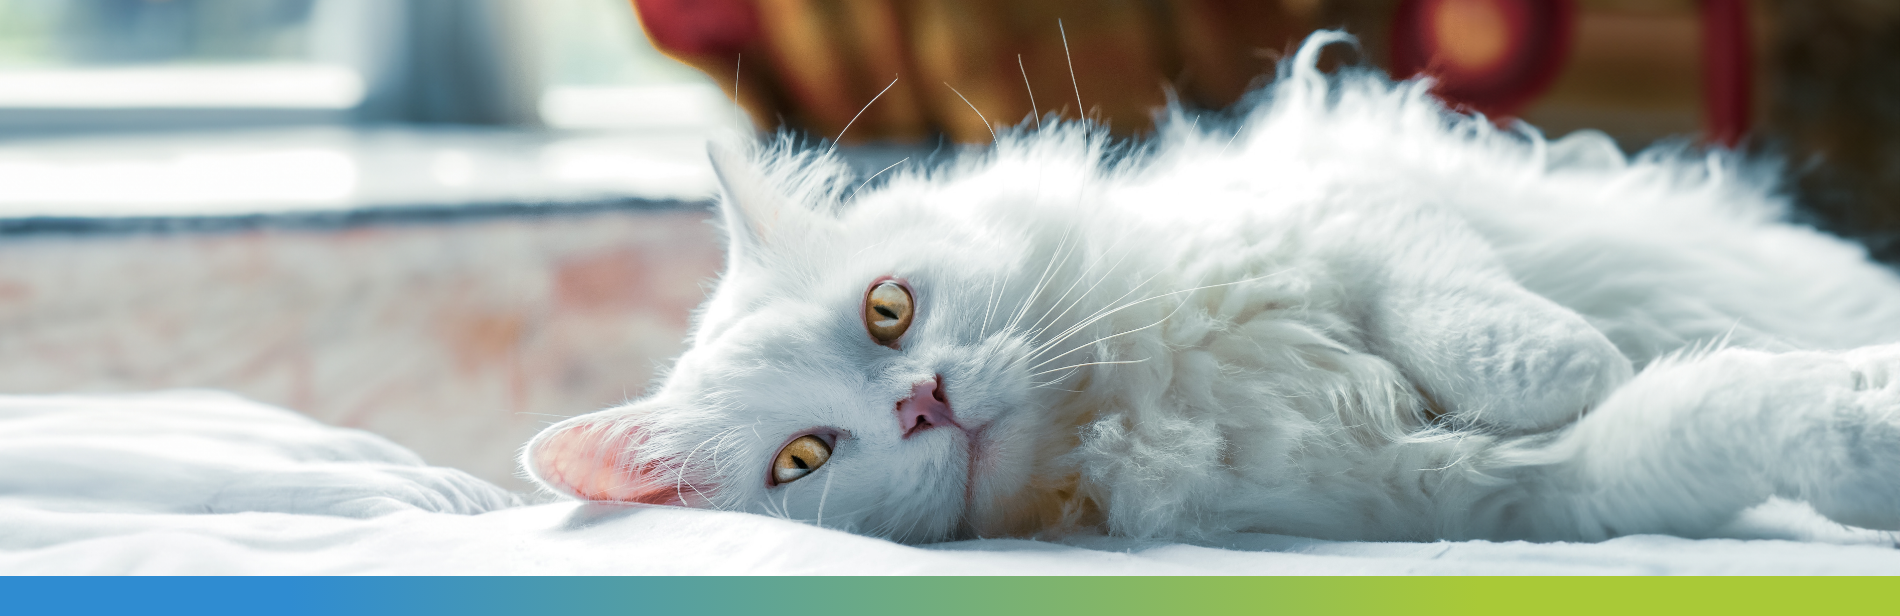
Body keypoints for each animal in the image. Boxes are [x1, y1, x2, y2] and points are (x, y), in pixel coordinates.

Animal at [528, 32, 1900, 543]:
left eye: (887, 308)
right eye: (804, 460)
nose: (924, 403)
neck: (1136, 400)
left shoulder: (1351, 206)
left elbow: (1468, 318)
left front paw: (1562, 357)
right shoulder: (1495, 494)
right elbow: (1704, 416)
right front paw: (1860, 436)